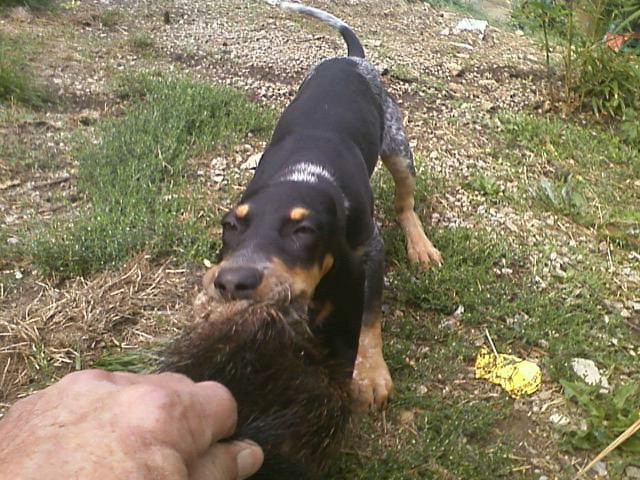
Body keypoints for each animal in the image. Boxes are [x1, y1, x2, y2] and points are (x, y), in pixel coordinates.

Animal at [204, 1, 440, 410]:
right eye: (230, 226)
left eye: (304, 230)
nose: (232, 283)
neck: (304, 175)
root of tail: (352, 59)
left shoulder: (370, 249)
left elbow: (368, 314)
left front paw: (369, 374)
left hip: (398, 149)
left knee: (404, 200)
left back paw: (420, 245)